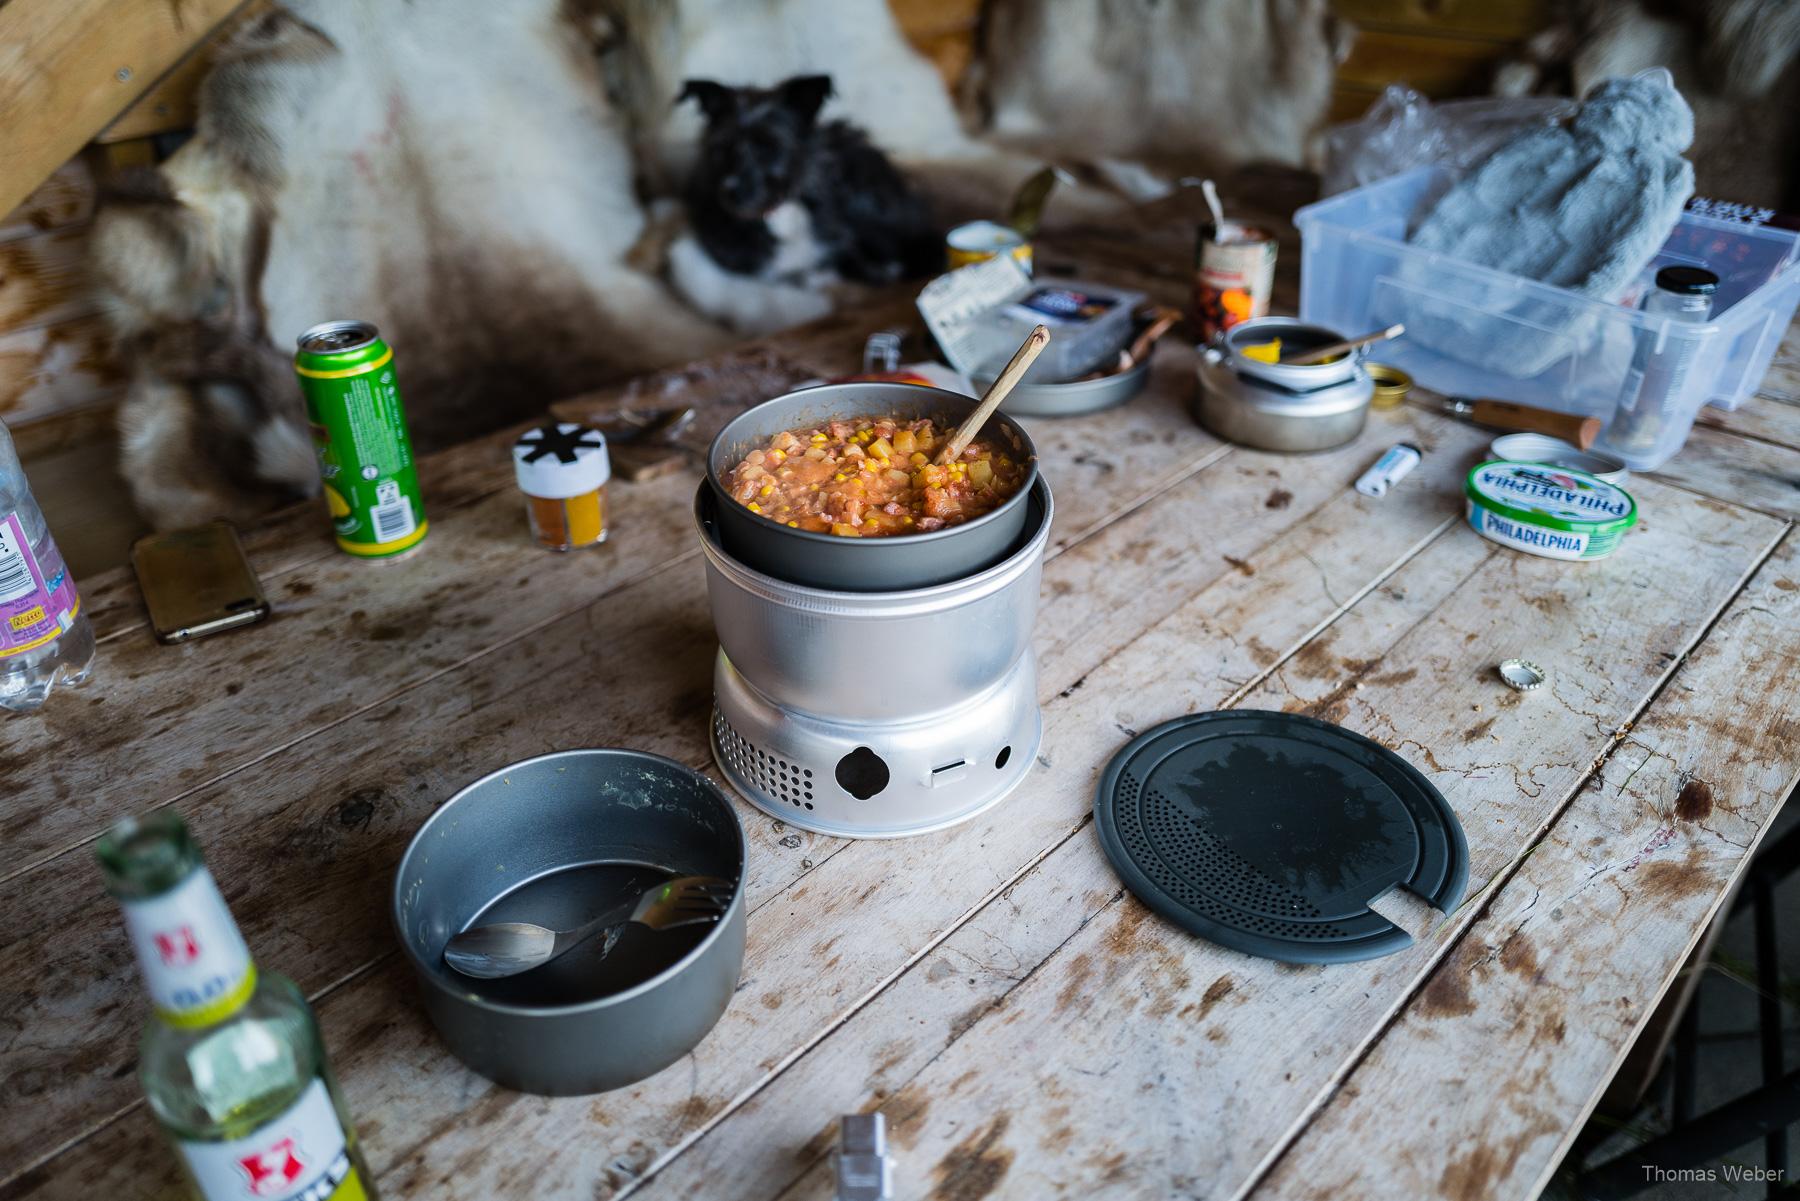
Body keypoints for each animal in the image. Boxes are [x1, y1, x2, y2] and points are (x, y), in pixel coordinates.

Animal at [669, 75, 936, 286]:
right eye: (723, 149)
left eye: (770, 148)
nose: (732, 192)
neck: (779, 215)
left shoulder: (840, 239)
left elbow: (853, 259)